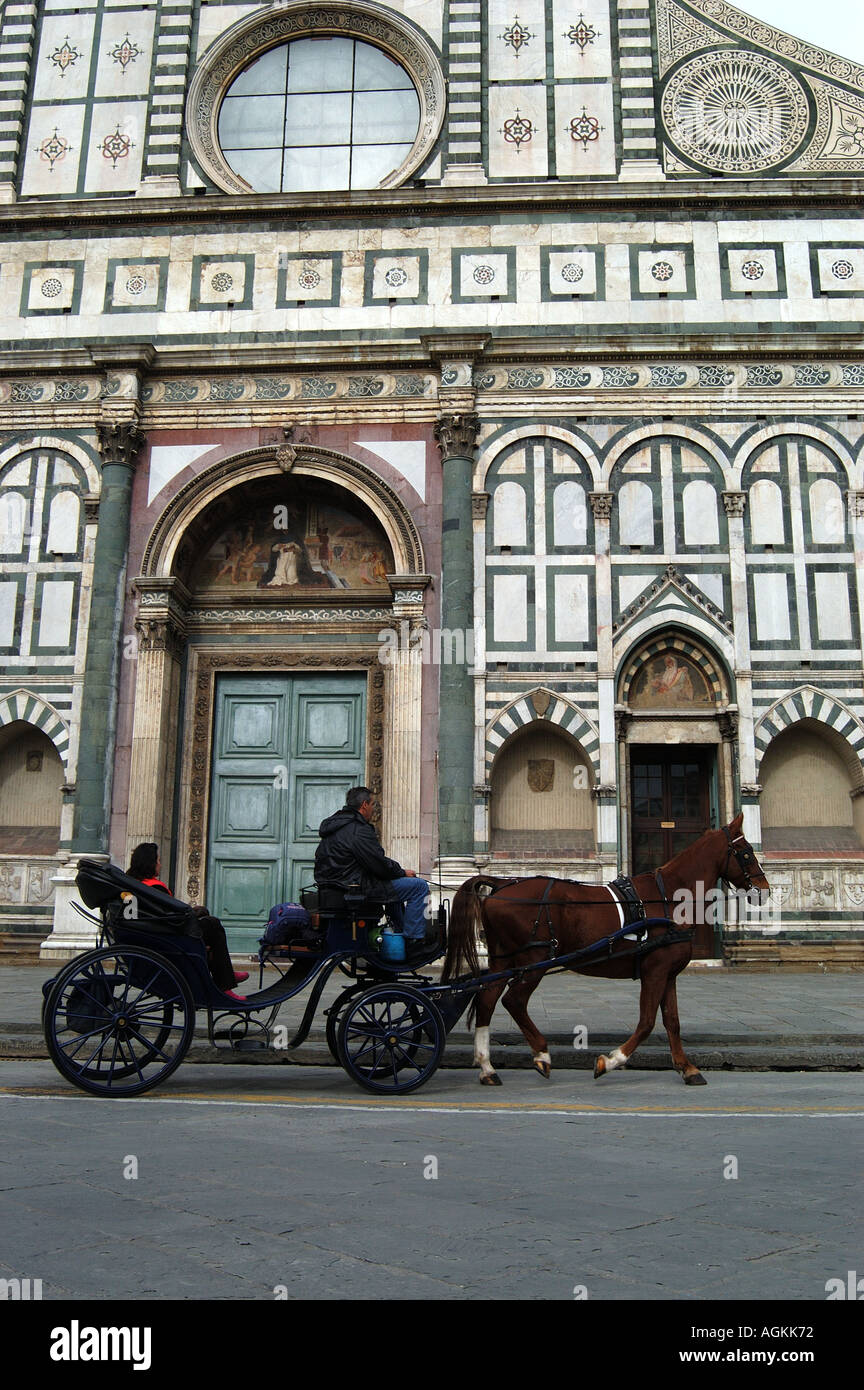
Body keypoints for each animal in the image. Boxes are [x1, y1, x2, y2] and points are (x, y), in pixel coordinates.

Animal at [444, 811, 766, 1089]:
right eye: (746, 852)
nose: (764, 889)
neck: (669, 898)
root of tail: (500, 885)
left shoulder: (668, 973)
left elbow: (672, 1022)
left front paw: (688, 1069)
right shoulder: (655, 971)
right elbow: (647, 1022)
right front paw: (609, 1061)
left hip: (504, 959)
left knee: (487, 998)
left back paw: (488, 1068)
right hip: (534, 959)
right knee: (513, 1000)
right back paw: (542, 1055)